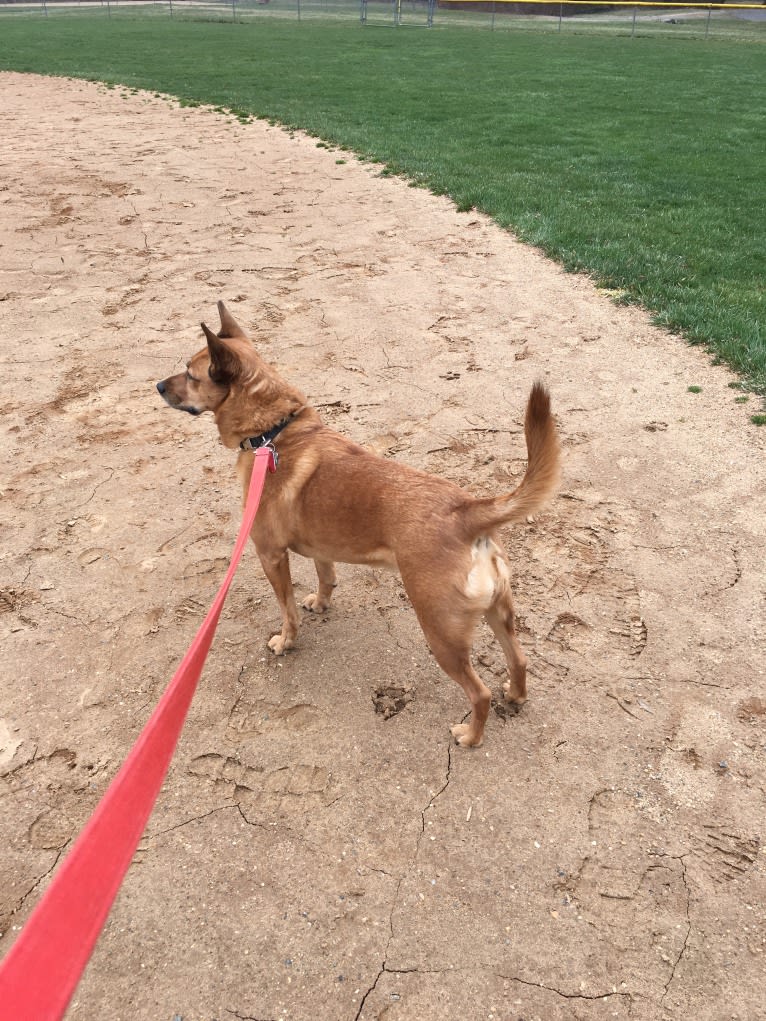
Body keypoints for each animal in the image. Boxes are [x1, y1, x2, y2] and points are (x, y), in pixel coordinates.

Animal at [159, 298, 559, 747]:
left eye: (190, 375)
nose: (158, 386)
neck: (274, 432)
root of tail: (467, 509)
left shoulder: (270, 555)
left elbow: (287, 609)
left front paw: (286, 640)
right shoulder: (320, 547)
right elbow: (325, 576)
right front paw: (321, 602)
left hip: (441, 632)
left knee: (480, 692)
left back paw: (470, 736)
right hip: (497, 613)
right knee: (518, 659)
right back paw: (516, 695)